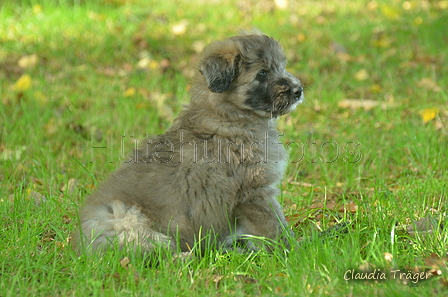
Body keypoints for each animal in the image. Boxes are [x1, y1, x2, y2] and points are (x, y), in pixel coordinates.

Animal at [76, 31, 304, 252]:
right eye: (262, 73)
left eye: (281, 66)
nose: (298, 90)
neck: (230, 114)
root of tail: (82, 248)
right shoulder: (254, 192)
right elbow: (274, 226)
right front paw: (292, 251)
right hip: (124, 218)